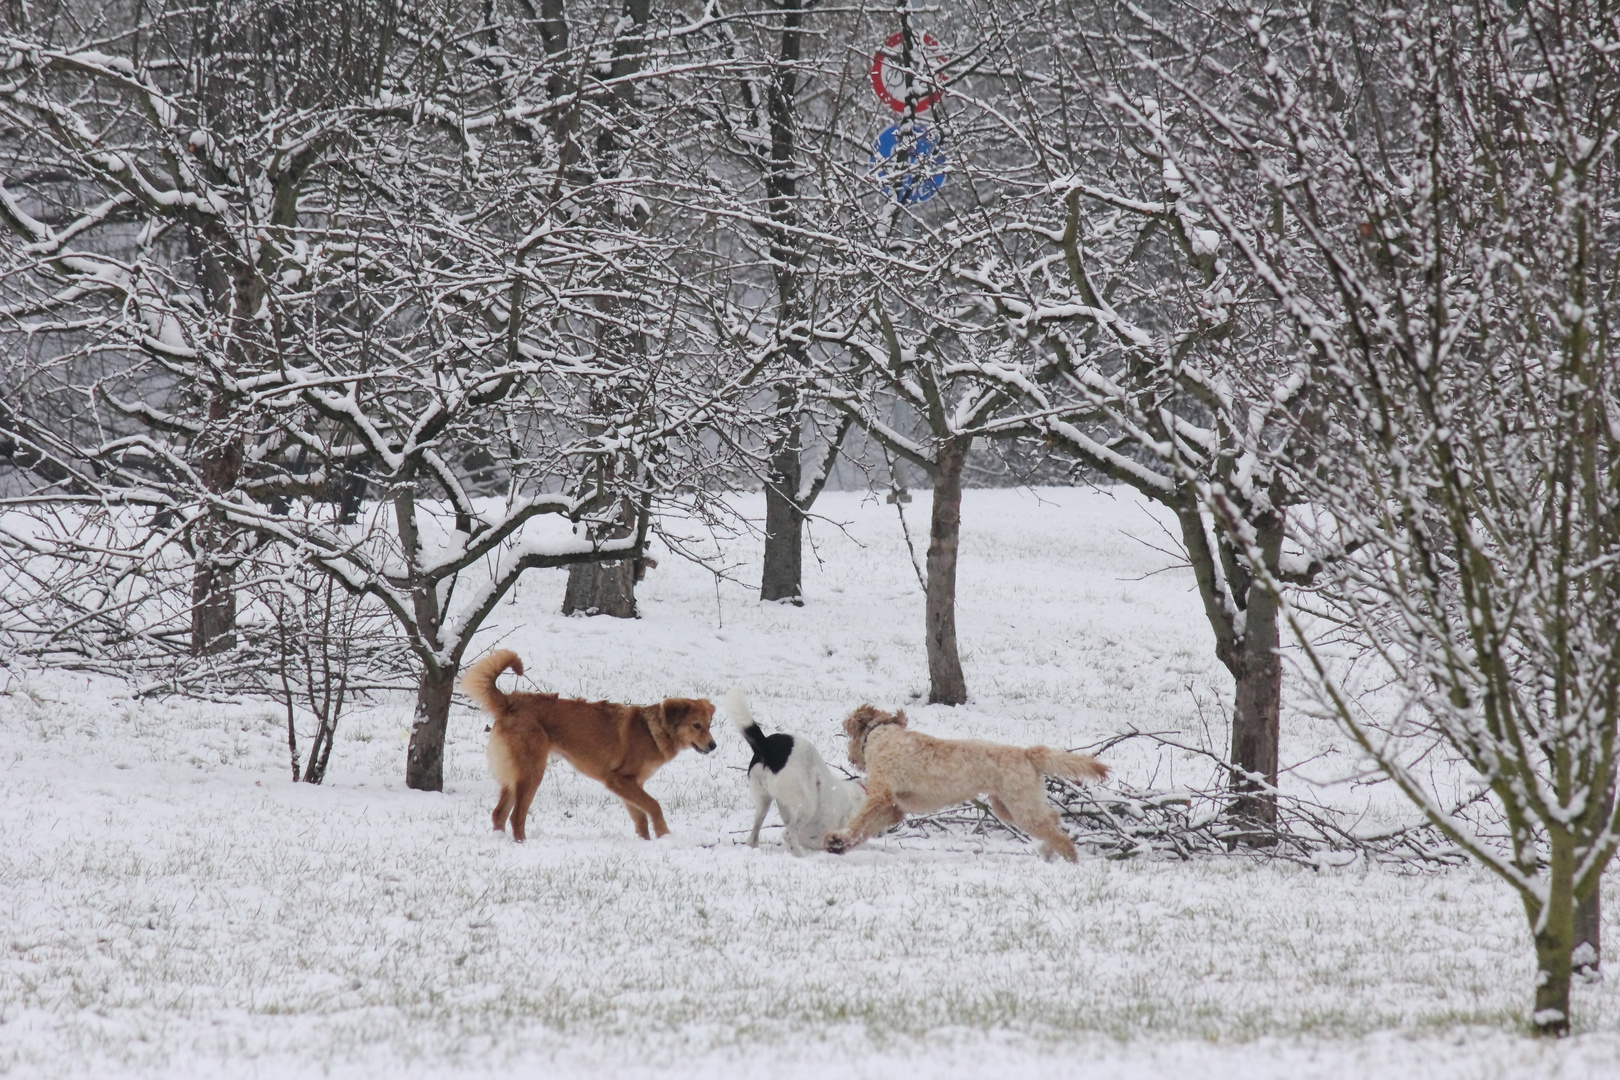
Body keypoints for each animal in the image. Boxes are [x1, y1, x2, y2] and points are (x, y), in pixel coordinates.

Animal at [456, 650, 709, 841]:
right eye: (696, 726)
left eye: (709, 725)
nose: (713, 746)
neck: (653, 729)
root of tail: (511, 701)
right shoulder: (619, 780)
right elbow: (654, 806)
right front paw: (664, 835)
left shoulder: (631, 785)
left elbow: (640, 818)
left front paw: (646, 841)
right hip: (532, 772)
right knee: (516, 816)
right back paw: (522, 844)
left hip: (515, 774)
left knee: (499, 814)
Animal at [732, 693, 868, 854]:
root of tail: (767, 744)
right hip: (806, 805)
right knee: (788, 834)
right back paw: (801, 855)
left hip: (764, 800)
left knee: (753, 836)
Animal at [829, 705, 1108, 867]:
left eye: (848, 732)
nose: (850, 758)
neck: (883, 737)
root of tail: (1027, 754)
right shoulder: (894, 807)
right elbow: (865, 828)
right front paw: (839, 845)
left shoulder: (881, 795)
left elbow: (859, 822)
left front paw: (838, 838)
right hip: (1008, 806)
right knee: (1054, 818)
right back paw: (1050, 853)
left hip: (1020, 806)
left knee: (1055, 829)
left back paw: (1070, 859)